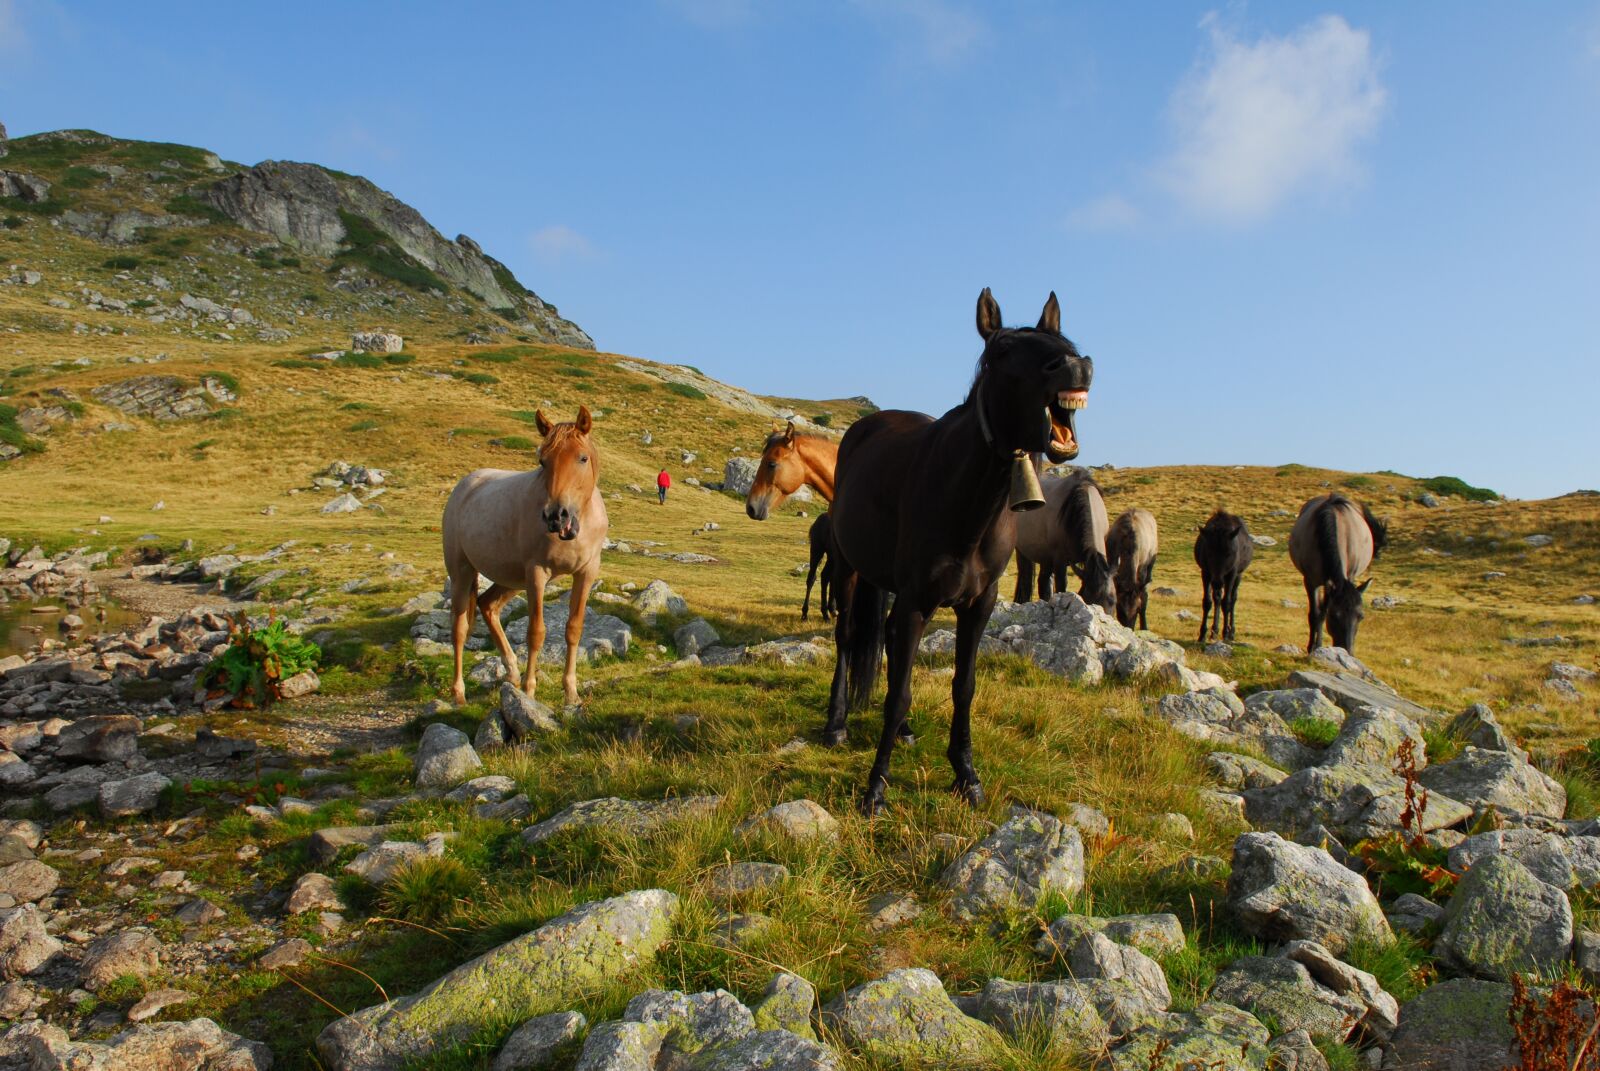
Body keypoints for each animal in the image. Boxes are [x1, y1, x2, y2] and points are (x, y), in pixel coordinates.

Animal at [441, 406, 607, 707]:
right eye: (542, 461)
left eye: (582, 458)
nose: (556, 516)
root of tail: (466, 485)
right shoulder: (537, 573)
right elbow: (536, 632)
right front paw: (530, 691)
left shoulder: (586, 573)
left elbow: (574, 629)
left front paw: (571, 692)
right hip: (462, 572)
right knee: (459, 628)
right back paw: (459, 693)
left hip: (510, 579)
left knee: (488, 605)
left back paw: (511, 673)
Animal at [823, 288, 1093, 813]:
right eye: (1002, 350)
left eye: (1066, 342)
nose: (1074, 366)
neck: (967, 503)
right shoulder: (915, 602)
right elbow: (899, 694)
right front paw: (876, 787)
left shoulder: (978, 604)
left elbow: (962, 687)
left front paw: (966, 774)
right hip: (847, 568)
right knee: (847, 637)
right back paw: (836, 722)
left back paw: (904, 732)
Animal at [1012, 469, 1115, 613]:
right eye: (1089, 599)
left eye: (1112, 601)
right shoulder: (1059, 559)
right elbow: (1062, 586)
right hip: (1023, 553)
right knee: (1026, 580)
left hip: (1045, 558)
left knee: (1043, 581)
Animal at [1193, 510, 1253, 643]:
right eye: (1209, 552)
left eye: (1229, 553)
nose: (1217, 582)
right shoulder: (1206, 572)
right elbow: (1207, 602)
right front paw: (1202, 634)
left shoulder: (1231, 574)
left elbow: (1227, 603)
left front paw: (1225, 633)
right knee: (1218, 598)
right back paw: (1214, 631)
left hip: (1237, 576)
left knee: (1233, 598)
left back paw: (1231, 632)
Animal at [1288, 493, 1389, 654]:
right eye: (1334, 616)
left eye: (1361, 616)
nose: (1347, 650)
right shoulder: (1311, 580)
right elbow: (1316, 614)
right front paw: (1313, 647)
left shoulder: (1347, 576)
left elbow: (1323, 610)